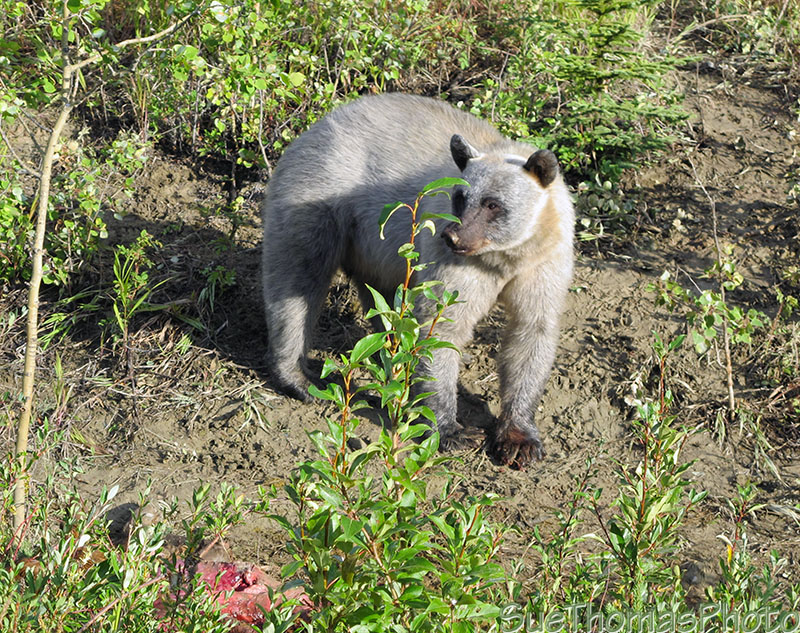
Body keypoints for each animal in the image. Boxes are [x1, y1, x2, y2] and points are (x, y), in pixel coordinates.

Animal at [261, 93, 574, 468]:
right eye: (459, 197)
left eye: (493, 204)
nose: (453, 236)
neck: (507, 258)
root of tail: (311, 129)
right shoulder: (457, 265)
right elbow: (440, 325)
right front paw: (451, 430)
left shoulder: (544, 265)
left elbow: (531, 333)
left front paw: (519, 440)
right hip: (318, 202)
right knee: (297, 284)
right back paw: (300, 378)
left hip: (375, 250)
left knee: (381, 303)